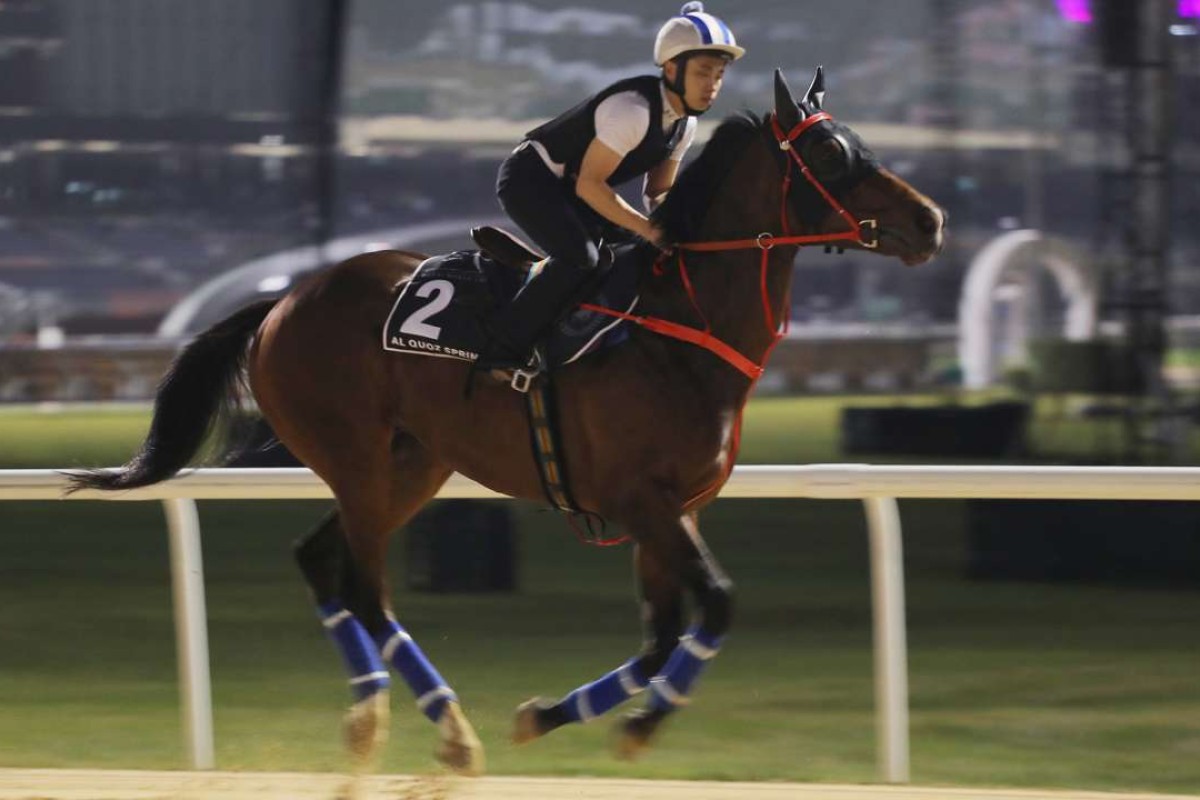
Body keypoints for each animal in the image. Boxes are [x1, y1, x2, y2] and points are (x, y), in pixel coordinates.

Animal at [70, 70, 945, 782]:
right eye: (829, 152)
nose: (933, 221)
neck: (678, 326)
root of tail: (283, 301)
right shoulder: (644, 502)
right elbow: (717, 606)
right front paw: (640, 727)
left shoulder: (672, 512)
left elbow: (660, 636)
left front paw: (550, 715)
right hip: (357, 457)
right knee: (362, 585)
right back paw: (450, 733)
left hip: (410, 464)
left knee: (321, 561)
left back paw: (371, 720)